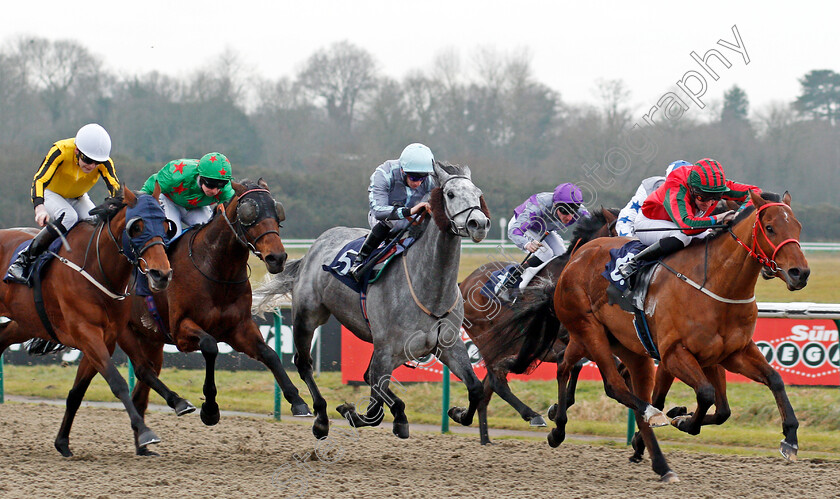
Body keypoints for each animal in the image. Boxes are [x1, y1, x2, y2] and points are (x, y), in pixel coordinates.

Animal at [0, 187, 173, 458]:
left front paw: (62, 443)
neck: (95, 267)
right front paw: (146, 432)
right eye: (137, 226)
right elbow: (117, 382)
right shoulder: (87, 334)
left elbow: (78, 392)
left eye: (166, 225)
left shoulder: (106, 338)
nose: (161, 274)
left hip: (24, 322)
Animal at [55, 180, 312, 458]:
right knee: (132, 373)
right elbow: (210, 346)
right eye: (249, 213)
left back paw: (143, 445)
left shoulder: (238, 328)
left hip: (151, 341)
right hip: (116, 334)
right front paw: (210, 410)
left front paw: (298, 401)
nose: (278, 258)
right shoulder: (182, 330)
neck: (215, 269)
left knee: (141, 386)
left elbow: (270, 354)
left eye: (276, 212)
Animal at [256, 162, 492, 440]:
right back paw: (321, 418)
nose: (479, 223)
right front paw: (350, 410)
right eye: (451, 194)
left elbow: (475, 388)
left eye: (478, 194)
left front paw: (456, 412)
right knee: (305, 364)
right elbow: (373, 409)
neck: (430, 292)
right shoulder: (386, 349)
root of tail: (314, 247)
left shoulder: (449, 345)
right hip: (308, 316)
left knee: (368, 376)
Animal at [456, 208, 620, 446]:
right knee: (496, 381)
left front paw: (557, 408)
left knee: (487, 388)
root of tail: (464, 283)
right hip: (486, 339)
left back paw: (476, 429)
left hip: (503, 345)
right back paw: (531, 415)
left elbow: (580, 365)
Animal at [486, 190, 808, 480]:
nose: (799, 273)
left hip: (612, 344)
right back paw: (647, 420)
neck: (716, 284)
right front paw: (682, 421)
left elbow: (766, 384)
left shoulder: (729, 353)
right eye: (770, 227)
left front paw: (790, 439)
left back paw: (563, 426)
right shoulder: (673, 354)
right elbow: (704, 394)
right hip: (589, 331)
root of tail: (577, 257)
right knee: (614, 385)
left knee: (569, 367)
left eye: (797, 227)